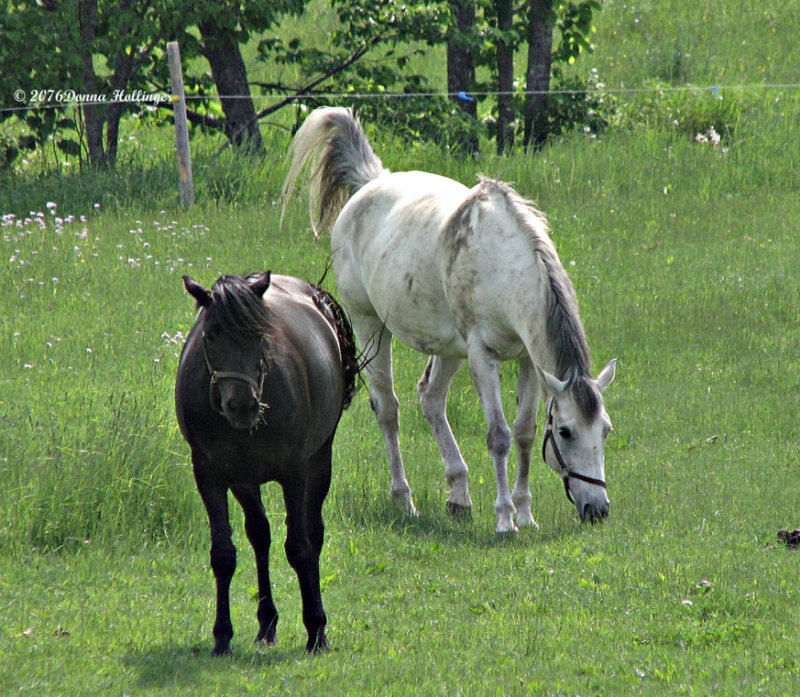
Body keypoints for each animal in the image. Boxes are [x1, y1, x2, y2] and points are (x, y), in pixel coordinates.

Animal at [180, 270, 358, 652]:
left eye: (259, 335)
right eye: (211, 334)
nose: (242, 404)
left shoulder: (294, 472)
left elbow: (300, 548)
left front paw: (316, 629)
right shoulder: (210, 475)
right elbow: (224, 554)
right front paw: (222, 636)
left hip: (319, 461)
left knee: (312, 533)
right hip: (245, 481)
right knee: (260, 535)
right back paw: (266, 623)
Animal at [284, 107, 616, 532]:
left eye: (604, 430)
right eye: (565, 432)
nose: (598, 510)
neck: (503, 265)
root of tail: (370, 182)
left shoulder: (528, 360)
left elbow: (524, 433)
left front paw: (525, 514)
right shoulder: (482, 356)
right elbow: (499, 435)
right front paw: (505, 519)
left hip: (448, 349)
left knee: (430, 399)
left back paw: (459, 496)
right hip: (371, 327)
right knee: (388, 410)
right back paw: (404, 499)